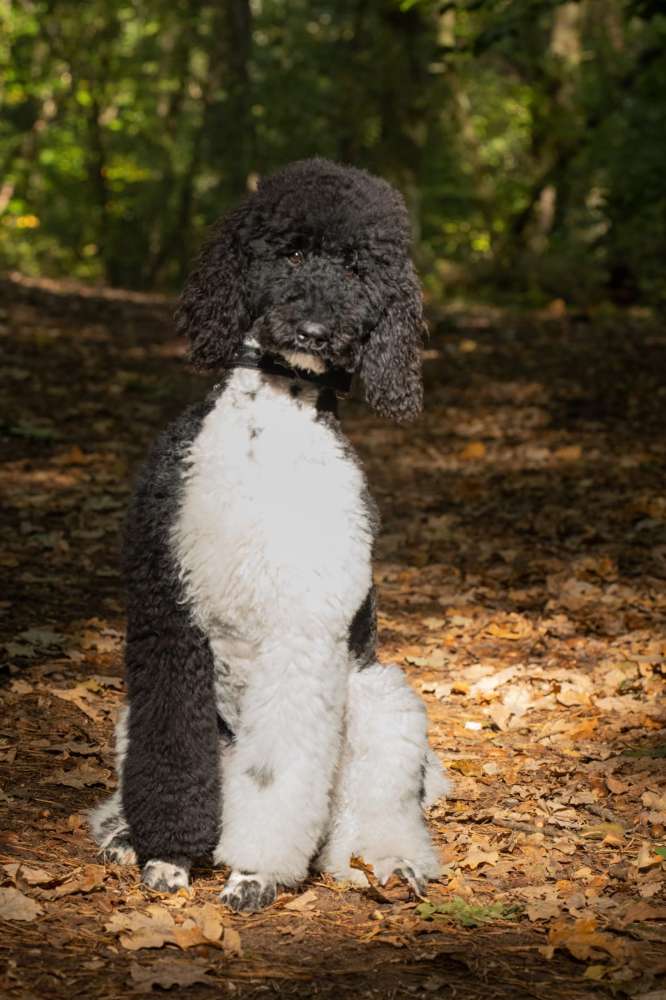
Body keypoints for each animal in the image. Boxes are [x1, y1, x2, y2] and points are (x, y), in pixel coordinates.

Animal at [89, 158, 446, 916]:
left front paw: (255, 872)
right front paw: (168, 856)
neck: (272, 430)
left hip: (382, 704)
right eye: (291, 254)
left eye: (357, 268)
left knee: (367, 819)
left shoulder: (304, 628)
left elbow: (277, 775)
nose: (313, 330)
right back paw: (124, 835)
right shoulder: (168, 612)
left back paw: (394, 862)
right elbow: (172, 759)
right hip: (131, 713)